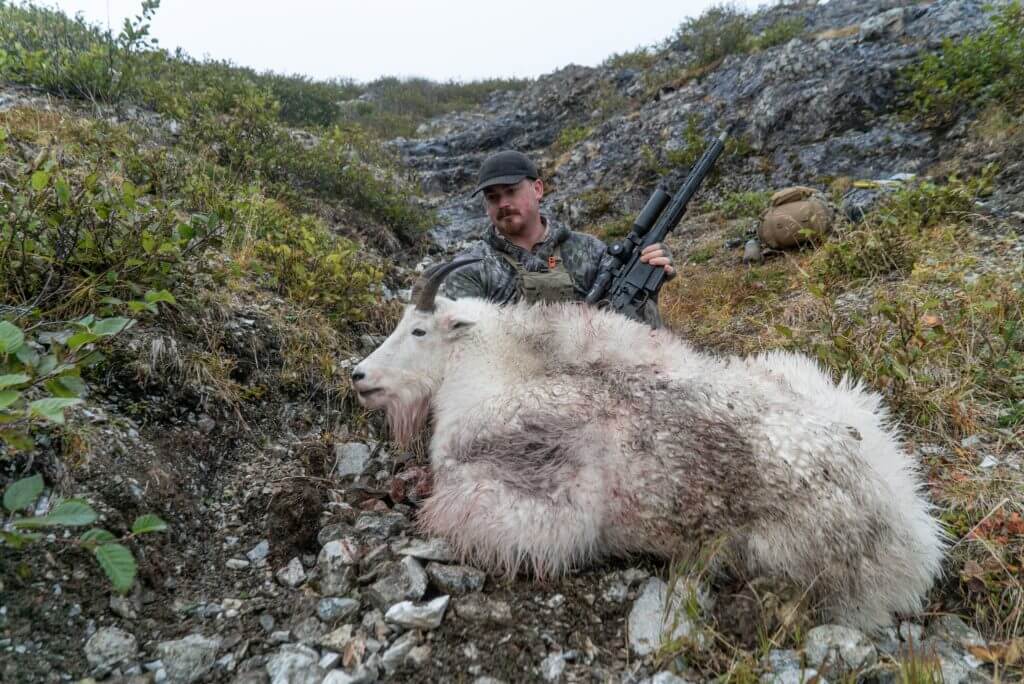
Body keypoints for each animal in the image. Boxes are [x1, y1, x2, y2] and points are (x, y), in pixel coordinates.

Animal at [351, 260, 945, 631]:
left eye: (419, 330)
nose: (358, 375)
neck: (495, 371)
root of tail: (914, 537)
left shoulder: (540, 501)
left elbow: (451, 509)